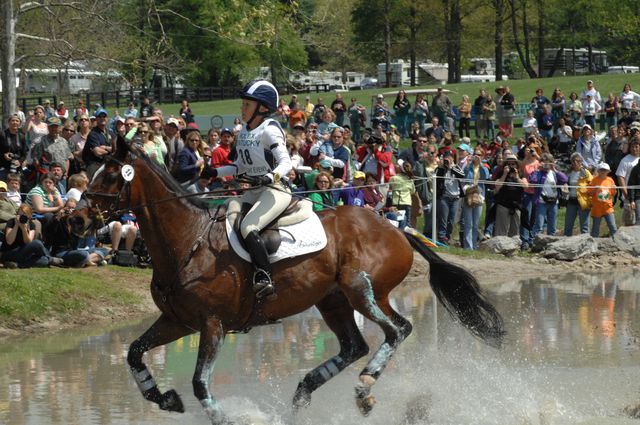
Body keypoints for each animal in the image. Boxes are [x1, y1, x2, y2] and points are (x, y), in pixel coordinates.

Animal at [86, 137, 504, 424]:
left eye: (112, 175)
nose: (81, 215)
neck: (187, 240)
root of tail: (396, 228)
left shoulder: (212, 324)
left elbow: (200, 383)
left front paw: (223, 418)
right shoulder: (178, 321)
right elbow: (134, 352)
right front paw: (165, 399)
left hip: (361, 289)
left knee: (397, 329)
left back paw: (364, 388)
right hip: (332, 299)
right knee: (354, 346)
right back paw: (304, 394)